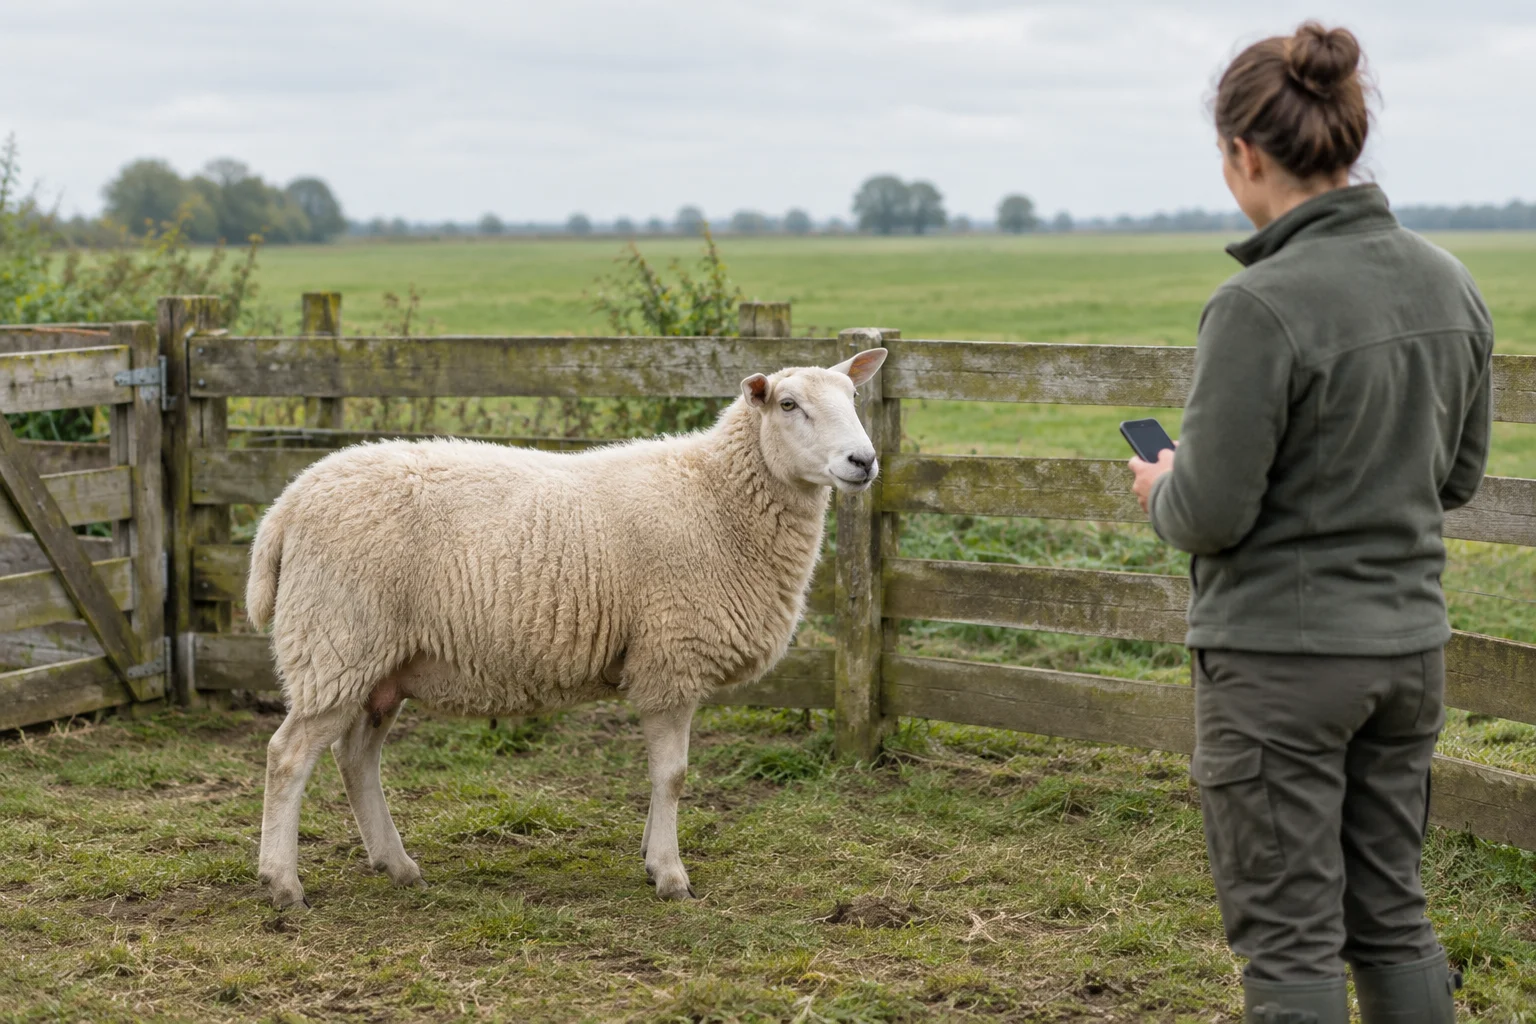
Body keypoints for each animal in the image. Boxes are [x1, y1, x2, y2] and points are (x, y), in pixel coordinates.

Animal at [247, 346, 889, 909]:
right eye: (788, 404)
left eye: (854, 396)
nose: (863, 461)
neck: (715, 495)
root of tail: (288, 502)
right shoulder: (670, 659)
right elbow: (673, 775)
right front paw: (671, 876)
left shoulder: (664, 664)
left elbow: (661, 777)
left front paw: (651, 857)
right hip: (336, 641)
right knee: (288, 756)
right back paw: (284, 884)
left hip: (380, 663)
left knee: (356, 758)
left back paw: (397, 865)